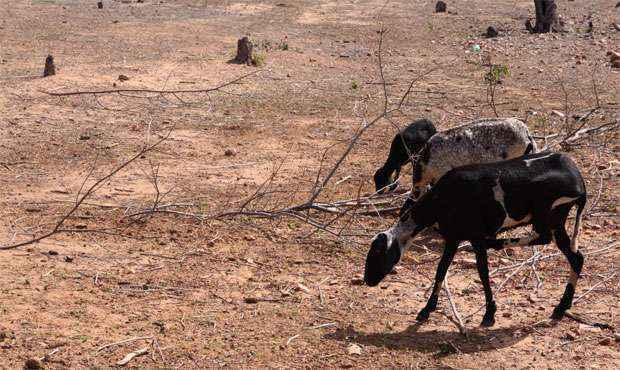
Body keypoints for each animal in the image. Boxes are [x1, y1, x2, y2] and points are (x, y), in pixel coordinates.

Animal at [366, 150, 588, 326]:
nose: (368, 280)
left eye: (378, 254)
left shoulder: (475, 237)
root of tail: (579, 182)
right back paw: (561, 308)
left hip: (551, 214)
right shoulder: (453, 238)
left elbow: (482, 272)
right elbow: (441, 270)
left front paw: (489, 314)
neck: (442, 199)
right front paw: (426, 310)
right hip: (556, 220)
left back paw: (497, 244)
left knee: (546, 238)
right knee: (575, 257)